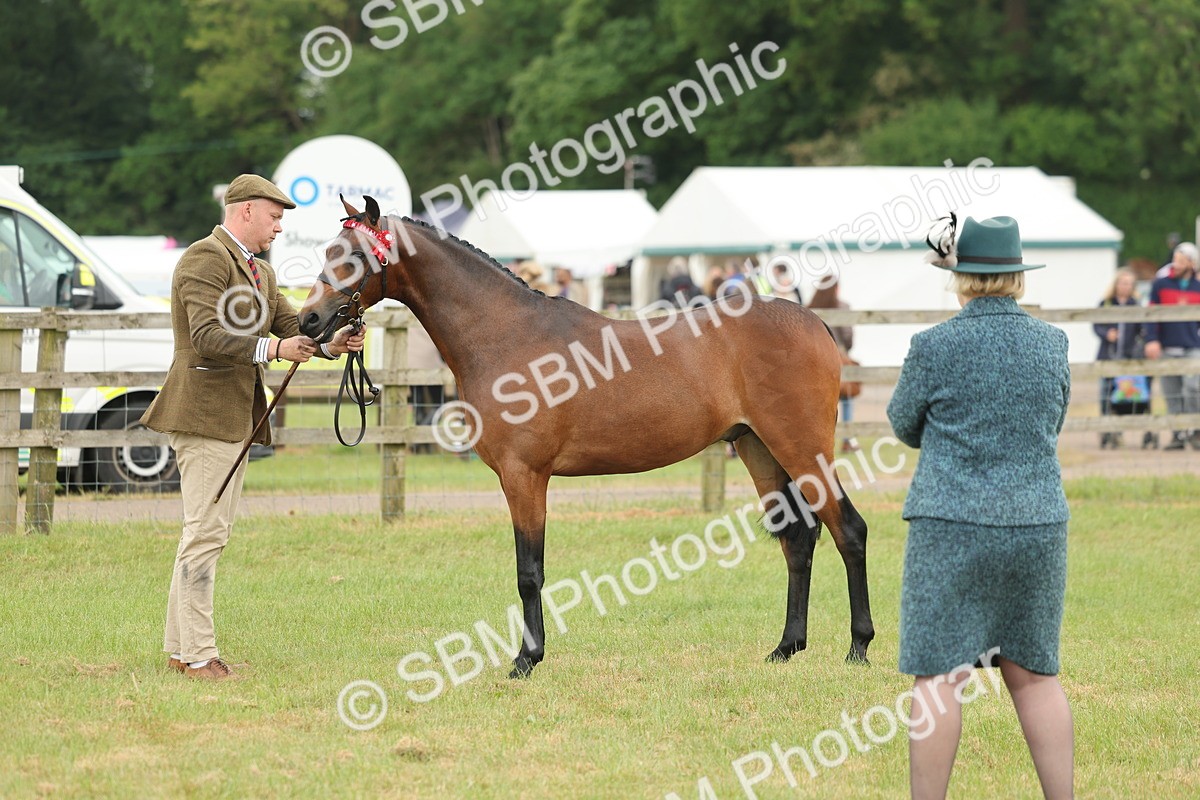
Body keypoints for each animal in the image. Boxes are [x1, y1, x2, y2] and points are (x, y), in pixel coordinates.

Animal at [298, 195, 874, 677]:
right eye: (328, 251)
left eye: (353, 256)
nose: (309, 319)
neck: (506, 334)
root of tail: (815, 324)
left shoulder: (524, 475)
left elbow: (529, 572)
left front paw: (526, 660)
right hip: (760, 450)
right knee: (798, 540)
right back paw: (786, 647)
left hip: (802, 448)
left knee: (848, 530)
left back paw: (858, 647)